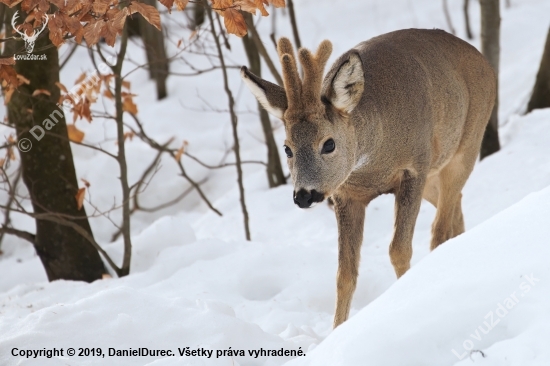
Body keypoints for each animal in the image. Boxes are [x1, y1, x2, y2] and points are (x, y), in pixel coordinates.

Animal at [240, 27, 496, 326]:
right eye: (287, 148)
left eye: (329, 143)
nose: (304, 195)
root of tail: (483, 60)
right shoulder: (346, 194)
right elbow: (345, 274)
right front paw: (336, 330)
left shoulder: (414, 168)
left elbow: (399, 250)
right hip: (435, 175)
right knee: (456, 207)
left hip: (467, 144)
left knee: (440, 228)